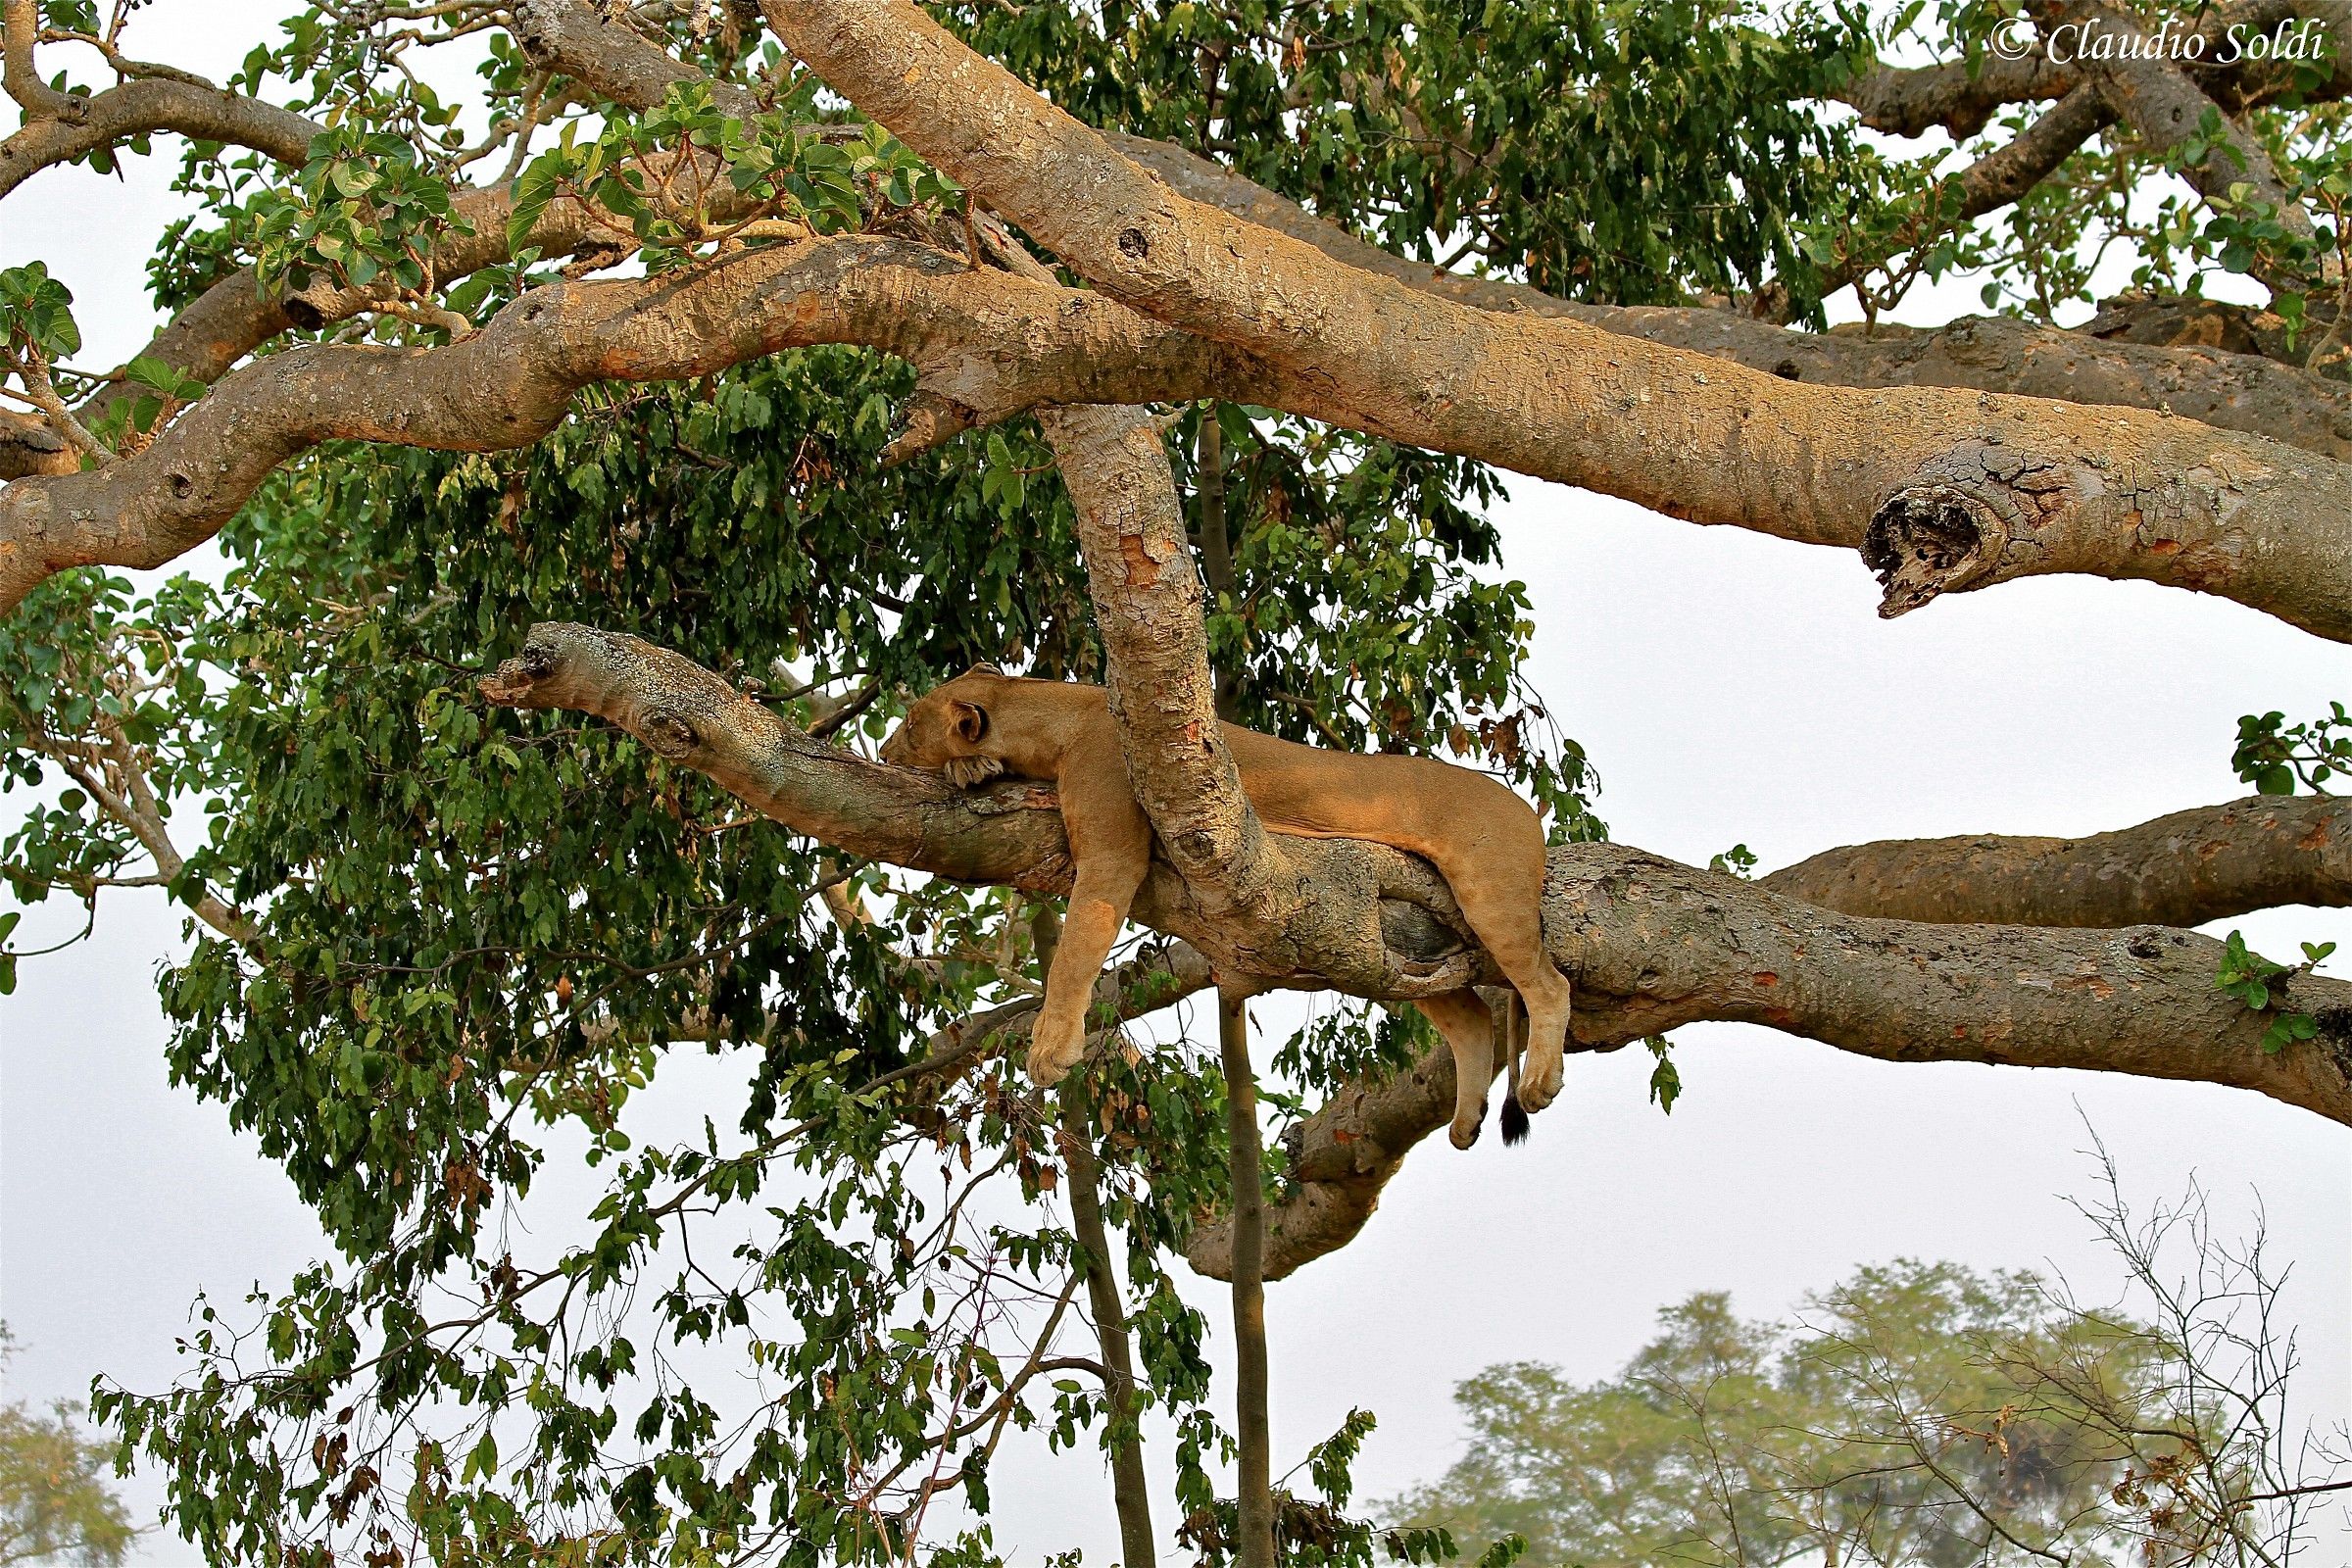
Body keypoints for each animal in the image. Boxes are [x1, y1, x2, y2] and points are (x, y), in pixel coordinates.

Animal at [878, 664, 1572, 1148]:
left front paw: (1051, 1047)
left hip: (1491, 895)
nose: (882, 754)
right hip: (1394, 948)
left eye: (910, 727)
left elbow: (1074, 950)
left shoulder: (1110, 846)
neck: (1058, 719)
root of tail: (1527, 811)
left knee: (1547, 983)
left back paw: (1540, 1081)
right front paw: (971, 770)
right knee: (1471, 1019)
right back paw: (1465, 1120)